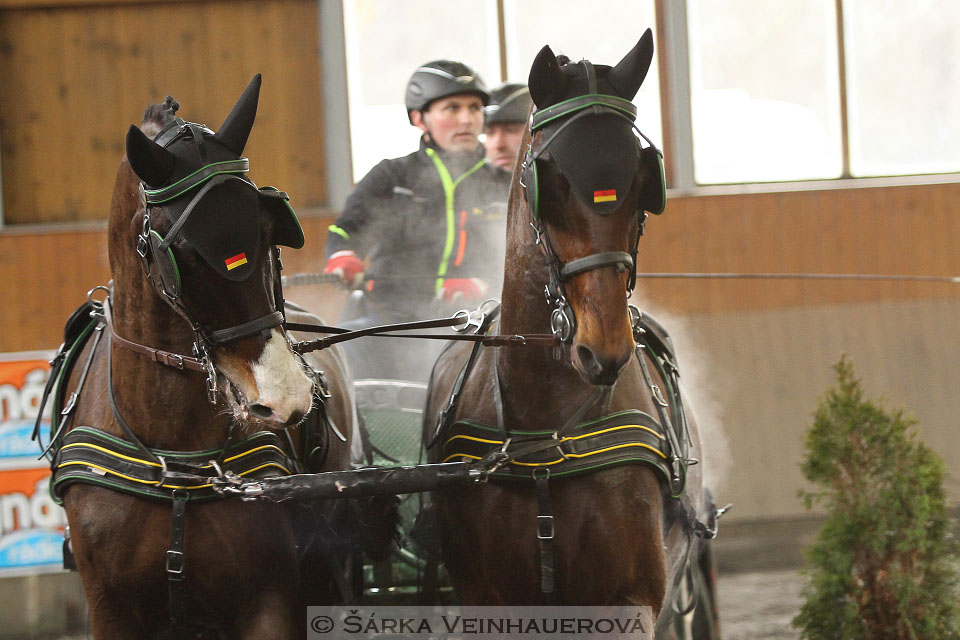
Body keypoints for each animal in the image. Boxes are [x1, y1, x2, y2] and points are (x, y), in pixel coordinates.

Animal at [44, 76, 394, 640]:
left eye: (269, 231)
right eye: (183, 253)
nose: (285, 396)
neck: (172, 454)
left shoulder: (268, 601)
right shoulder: (111, 607)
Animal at [424, 28, 716, 636]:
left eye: (643, 180)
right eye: (551, 180)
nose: (603, 348)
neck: (545, 432)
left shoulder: (629, 601)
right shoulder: (489, 602)